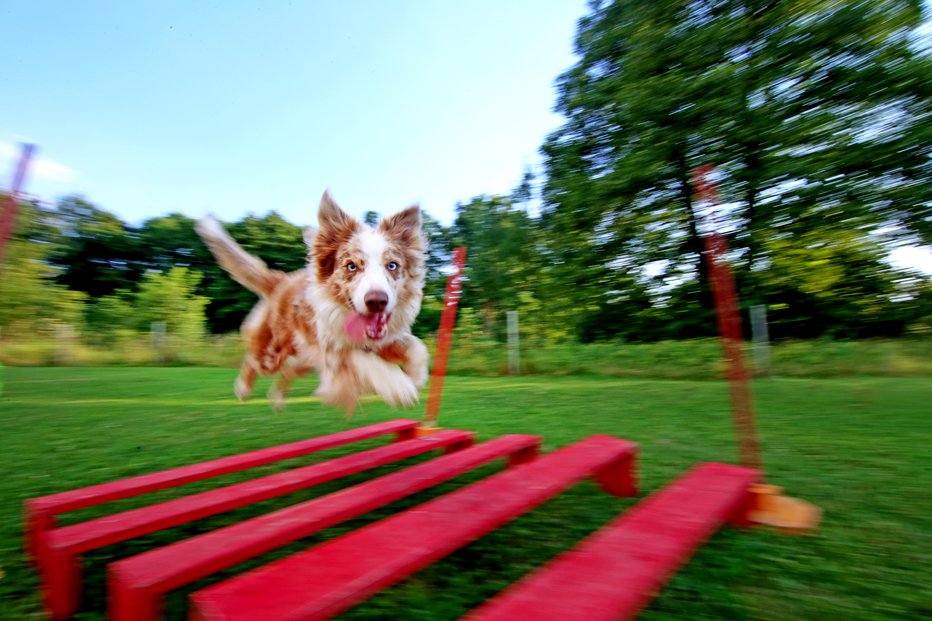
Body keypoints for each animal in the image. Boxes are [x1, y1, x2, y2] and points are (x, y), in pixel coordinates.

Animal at [198, 191, 432, 414]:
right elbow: (357, 356)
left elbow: (417, 346)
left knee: (287, 372)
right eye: (351, 266)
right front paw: (399, 386)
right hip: (272, 352)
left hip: (304, 359)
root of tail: (281, 281)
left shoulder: (386, 340)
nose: (377, 301)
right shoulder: (330, 352)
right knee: (252, 361)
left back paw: (277, 399)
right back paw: (243, 389)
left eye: (392, 265)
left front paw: (416, 375)